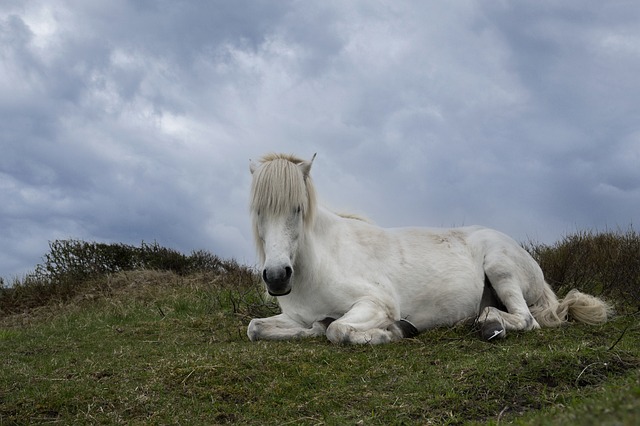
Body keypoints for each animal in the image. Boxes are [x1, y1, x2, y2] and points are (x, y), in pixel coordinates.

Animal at [246, 155, 608, 344]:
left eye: (297, 209)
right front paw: (315, 327)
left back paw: (490, 323)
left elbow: (337, 330)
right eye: (258, 211)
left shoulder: (374, 303)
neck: (320, 264)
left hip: (500, 267)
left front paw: (390, 332)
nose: (277, 277)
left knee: (526, 319)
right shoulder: (294, 316)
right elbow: (256, 327)